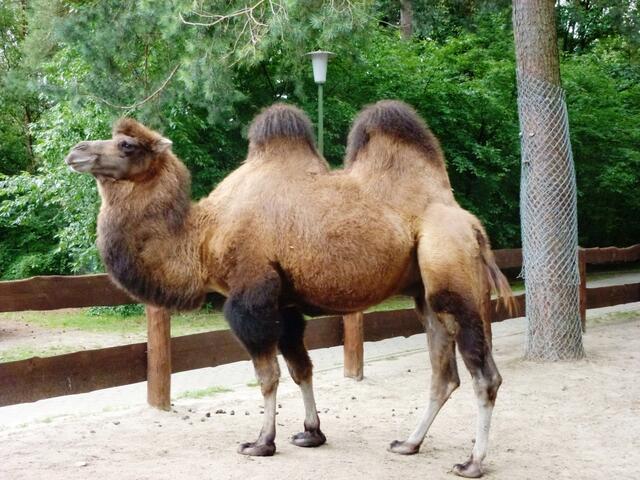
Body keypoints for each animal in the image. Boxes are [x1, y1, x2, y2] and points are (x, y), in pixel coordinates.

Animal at [64, 101, 513, 478]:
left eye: (126, 145)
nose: (75, 151)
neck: (203, 237)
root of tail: (471, 224)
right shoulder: (284, 303)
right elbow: (301, 369)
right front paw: (311, 433)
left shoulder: (251, 296)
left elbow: (268, 376)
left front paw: (262, 442)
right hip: (424, 291)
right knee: (443, 374)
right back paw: (408, 443)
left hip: (450, 267)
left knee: (483, 375)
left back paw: (472, 462)